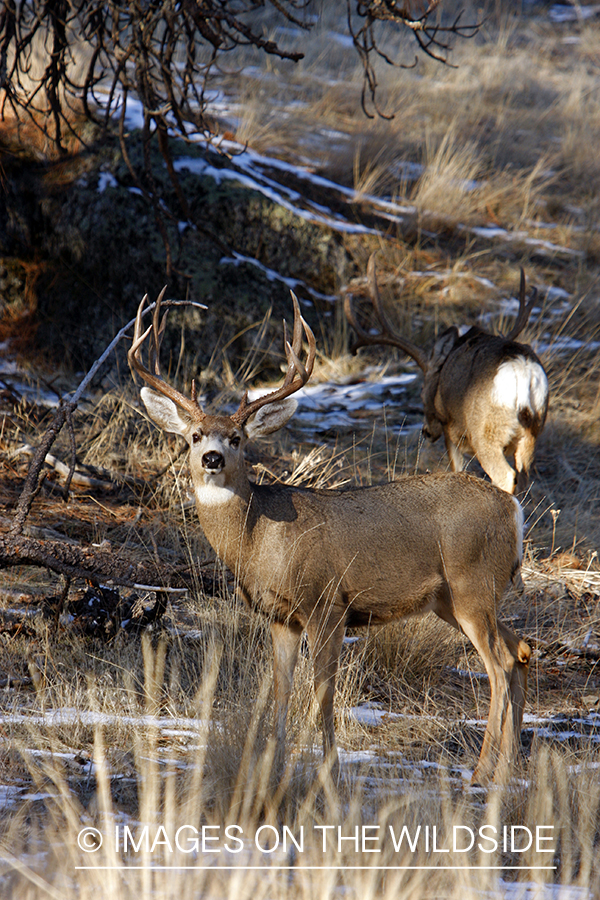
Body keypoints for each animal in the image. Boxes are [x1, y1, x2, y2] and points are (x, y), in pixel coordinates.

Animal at [129, 288, 531, 786]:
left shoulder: (327, 602)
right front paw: (274, 764)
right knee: (519, 649)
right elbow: (281, 689)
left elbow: (322, 690)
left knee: (499, 665)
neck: (260, 540)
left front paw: (329, 768)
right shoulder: (281, 616)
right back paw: (509, 768)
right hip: (454, 598)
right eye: (194, 435)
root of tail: (511, 509)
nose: (211, 459)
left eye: (238, 438)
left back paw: (481, 772)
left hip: (472, 583)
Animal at [345, 256, 549, 495]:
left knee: (505, 476)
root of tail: (522, 368)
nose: (426, 432)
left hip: (486, 432)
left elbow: (456, 469)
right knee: (524, 479)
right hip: (533, 431)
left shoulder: (449, 427)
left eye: (422, 392)